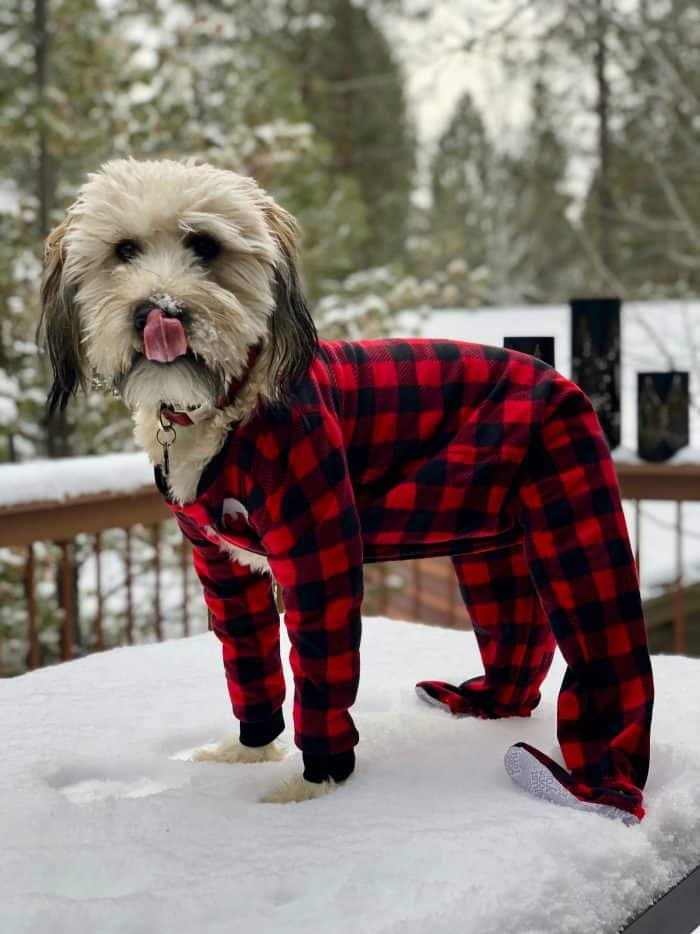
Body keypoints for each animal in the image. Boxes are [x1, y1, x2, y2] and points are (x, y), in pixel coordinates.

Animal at [41, 159, 652, 820]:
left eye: (204, 245)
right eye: (124, 250)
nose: (159, 310)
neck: (227, 406)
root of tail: (555, 374)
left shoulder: (317, 549)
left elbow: (320, 666)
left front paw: (316, 784)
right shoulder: (223, 568)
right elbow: (247, 658)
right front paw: (250, 750)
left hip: (573, 518)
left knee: (602, 632)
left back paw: (596, 789)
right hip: (492, 545)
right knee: (513, 620)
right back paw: (486, 701)